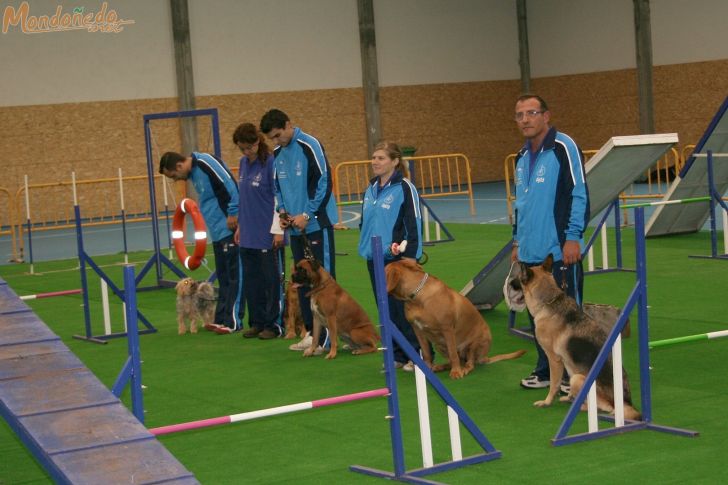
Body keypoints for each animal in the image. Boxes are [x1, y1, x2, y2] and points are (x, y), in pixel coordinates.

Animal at [384, 258, 528, 378]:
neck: (416, 297)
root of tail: (485, 357)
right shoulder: (417, 330)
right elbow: (426, 353)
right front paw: (427, 369)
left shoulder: (447, 329)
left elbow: (453, 354)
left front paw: (456, 372)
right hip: (439, 345)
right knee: (458, 360)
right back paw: (440, 367)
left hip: (475, 342)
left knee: (469, 363)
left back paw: (463, 369)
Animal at [510, 253, 640, 420]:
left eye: (519, 278)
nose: (510, 283)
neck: (549, 301)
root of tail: (625, 403)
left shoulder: (554, 359)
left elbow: (554, 384)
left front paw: (547, 402)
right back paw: (570, 398)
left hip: (577, 378)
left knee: (594, 408)